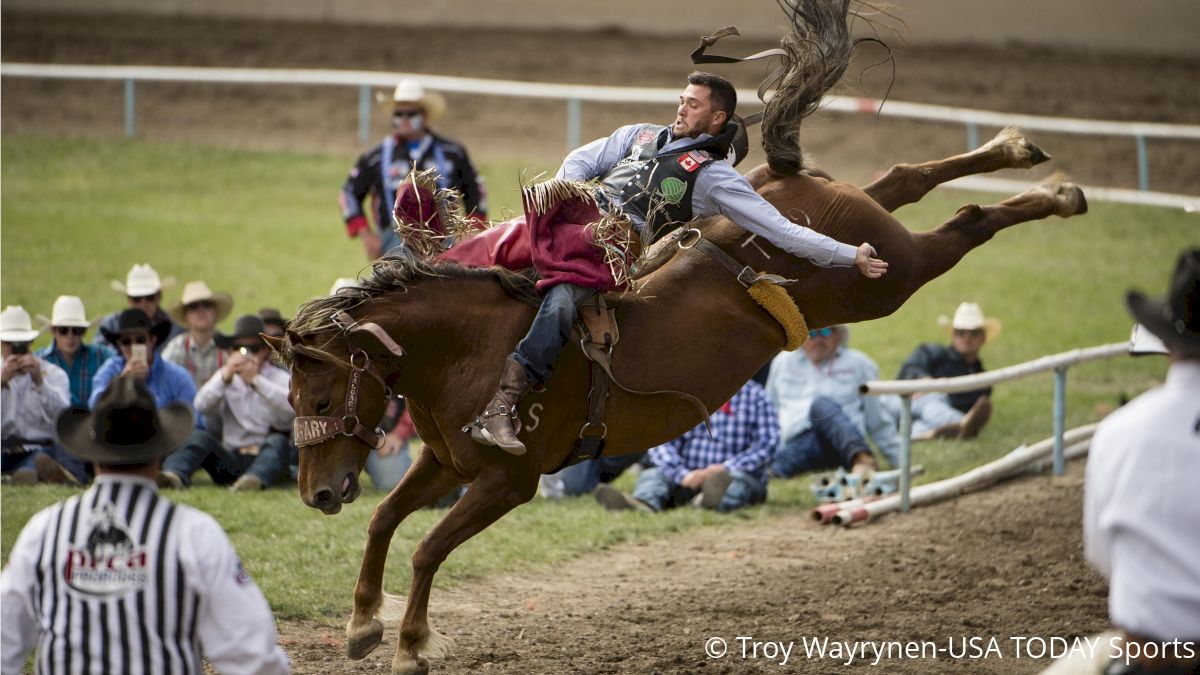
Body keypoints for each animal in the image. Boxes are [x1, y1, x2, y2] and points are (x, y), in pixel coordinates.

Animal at [270, 2, 1089, 667]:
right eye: (291, 397)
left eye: (319, 391)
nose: (315, 494)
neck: (471, 350)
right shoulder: (444, 461)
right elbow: (384, 519)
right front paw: (362, 626)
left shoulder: (507, 480)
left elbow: (428, 548)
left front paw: (409, 644)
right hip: (837, 211)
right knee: (905, 176)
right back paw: (1021, 154)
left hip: (889, 279)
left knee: (963, 225)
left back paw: (1056, 193)